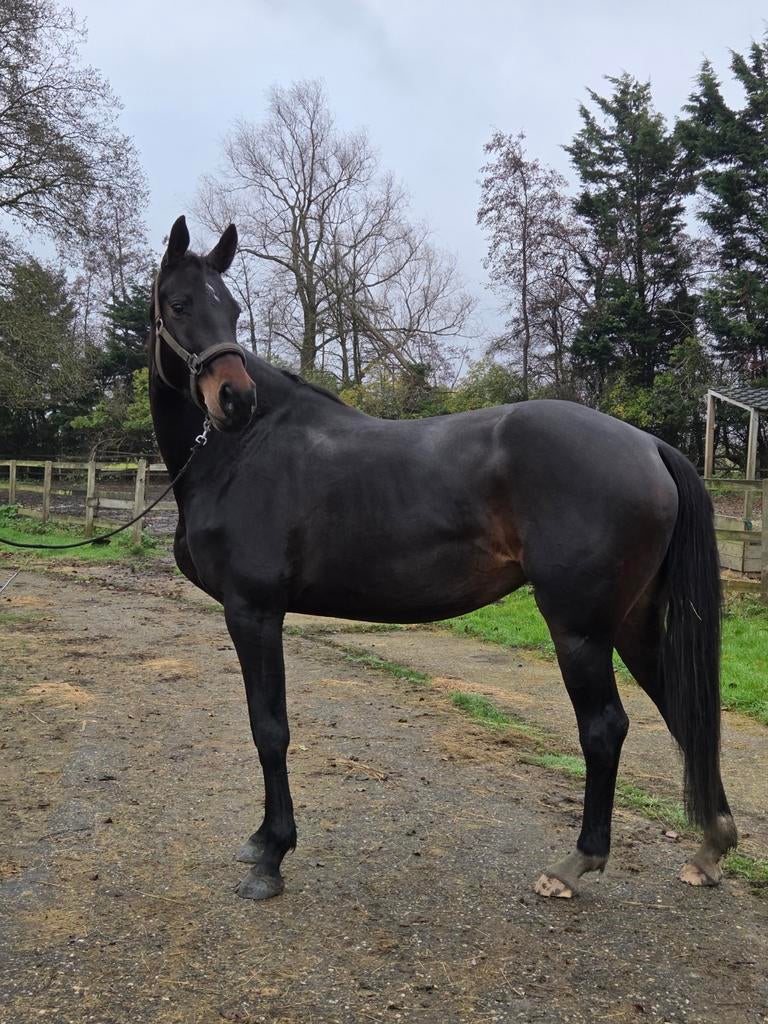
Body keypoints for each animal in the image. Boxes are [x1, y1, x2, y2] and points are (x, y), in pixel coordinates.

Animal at [149, 215, 737, 901]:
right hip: (633, 623)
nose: (234, 400)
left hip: (581, 629)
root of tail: (648, 445)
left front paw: (272, 853)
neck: (243, 452)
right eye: (179, 304)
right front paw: (263, 842)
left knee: (605, 729)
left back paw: (576, 863)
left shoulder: (254, 611)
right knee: (682, 711)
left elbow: (269, 728)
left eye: (233, 310)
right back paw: (710, 847)